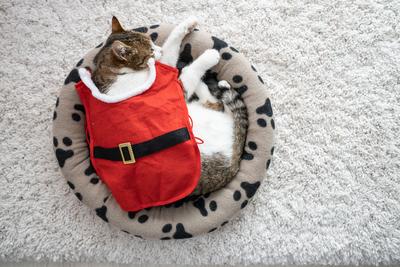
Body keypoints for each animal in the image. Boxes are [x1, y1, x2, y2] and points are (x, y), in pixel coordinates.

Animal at [88, 17, 247, 195]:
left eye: (152, 42)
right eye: (151, 50)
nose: (159, 50)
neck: (118, 74)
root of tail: (234, 162)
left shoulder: (164, 70)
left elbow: (171, 46)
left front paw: (187, 24)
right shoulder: (176, 89)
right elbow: (189, 72)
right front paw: (209, 56)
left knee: (220, 105)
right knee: (216, 104)